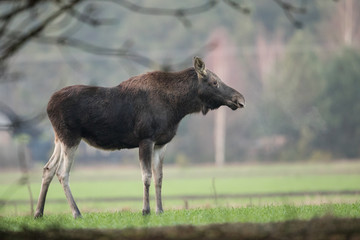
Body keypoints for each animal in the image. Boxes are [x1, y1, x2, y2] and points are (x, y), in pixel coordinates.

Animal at [34, 55, 245, 218]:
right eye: (214, 82)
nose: (240, 99)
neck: (178, 107)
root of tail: (47, 106)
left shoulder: (161, 143)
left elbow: (159, 177)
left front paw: (160, 210)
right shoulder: (146, 139)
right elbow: (147, 176)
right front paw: (146, 210)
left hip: (59, 138)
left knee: (48, 169)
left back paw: (38, 213)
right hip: (71, 137)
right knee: (62, 173)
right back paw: (76, 213)